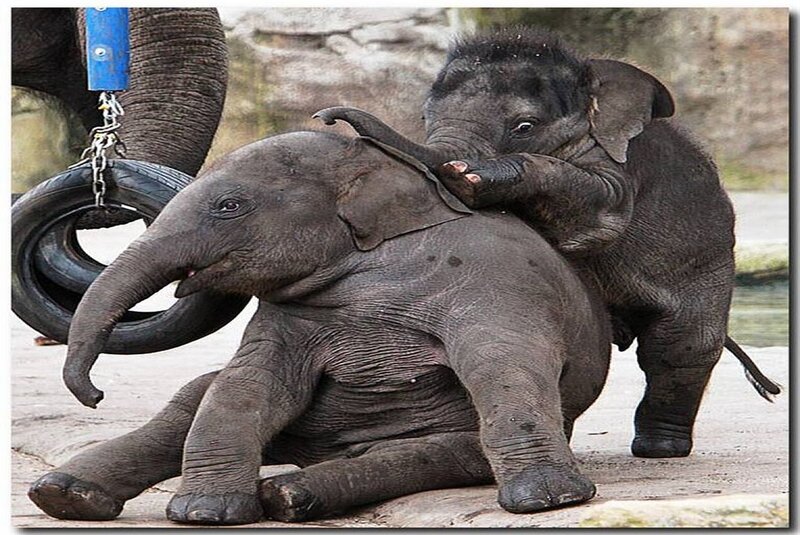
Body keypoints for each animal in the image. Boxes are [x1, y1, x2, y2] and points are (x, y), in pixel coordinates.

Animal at [28, 131, 612, 525]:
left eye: (229, 206)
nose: (94, 395)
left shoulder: (501, 280)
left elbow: (502, 362)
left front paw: (548, 500)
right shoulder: (287, 313)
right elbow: (250, 382)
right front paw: (204, 512)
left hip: (440, 442)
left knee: (434, 454)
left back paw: (291, 496)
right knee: (190, 401)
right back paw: (63, 494)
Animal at [313, 27, 780, 460]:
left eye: (524, 126)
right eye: (425, 121)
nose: (326, 116)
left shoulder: (623, 169)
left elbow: (599, 208)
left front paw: (475, 178)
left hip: (709, 260)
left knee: (679, 346)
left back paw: (659, 449)